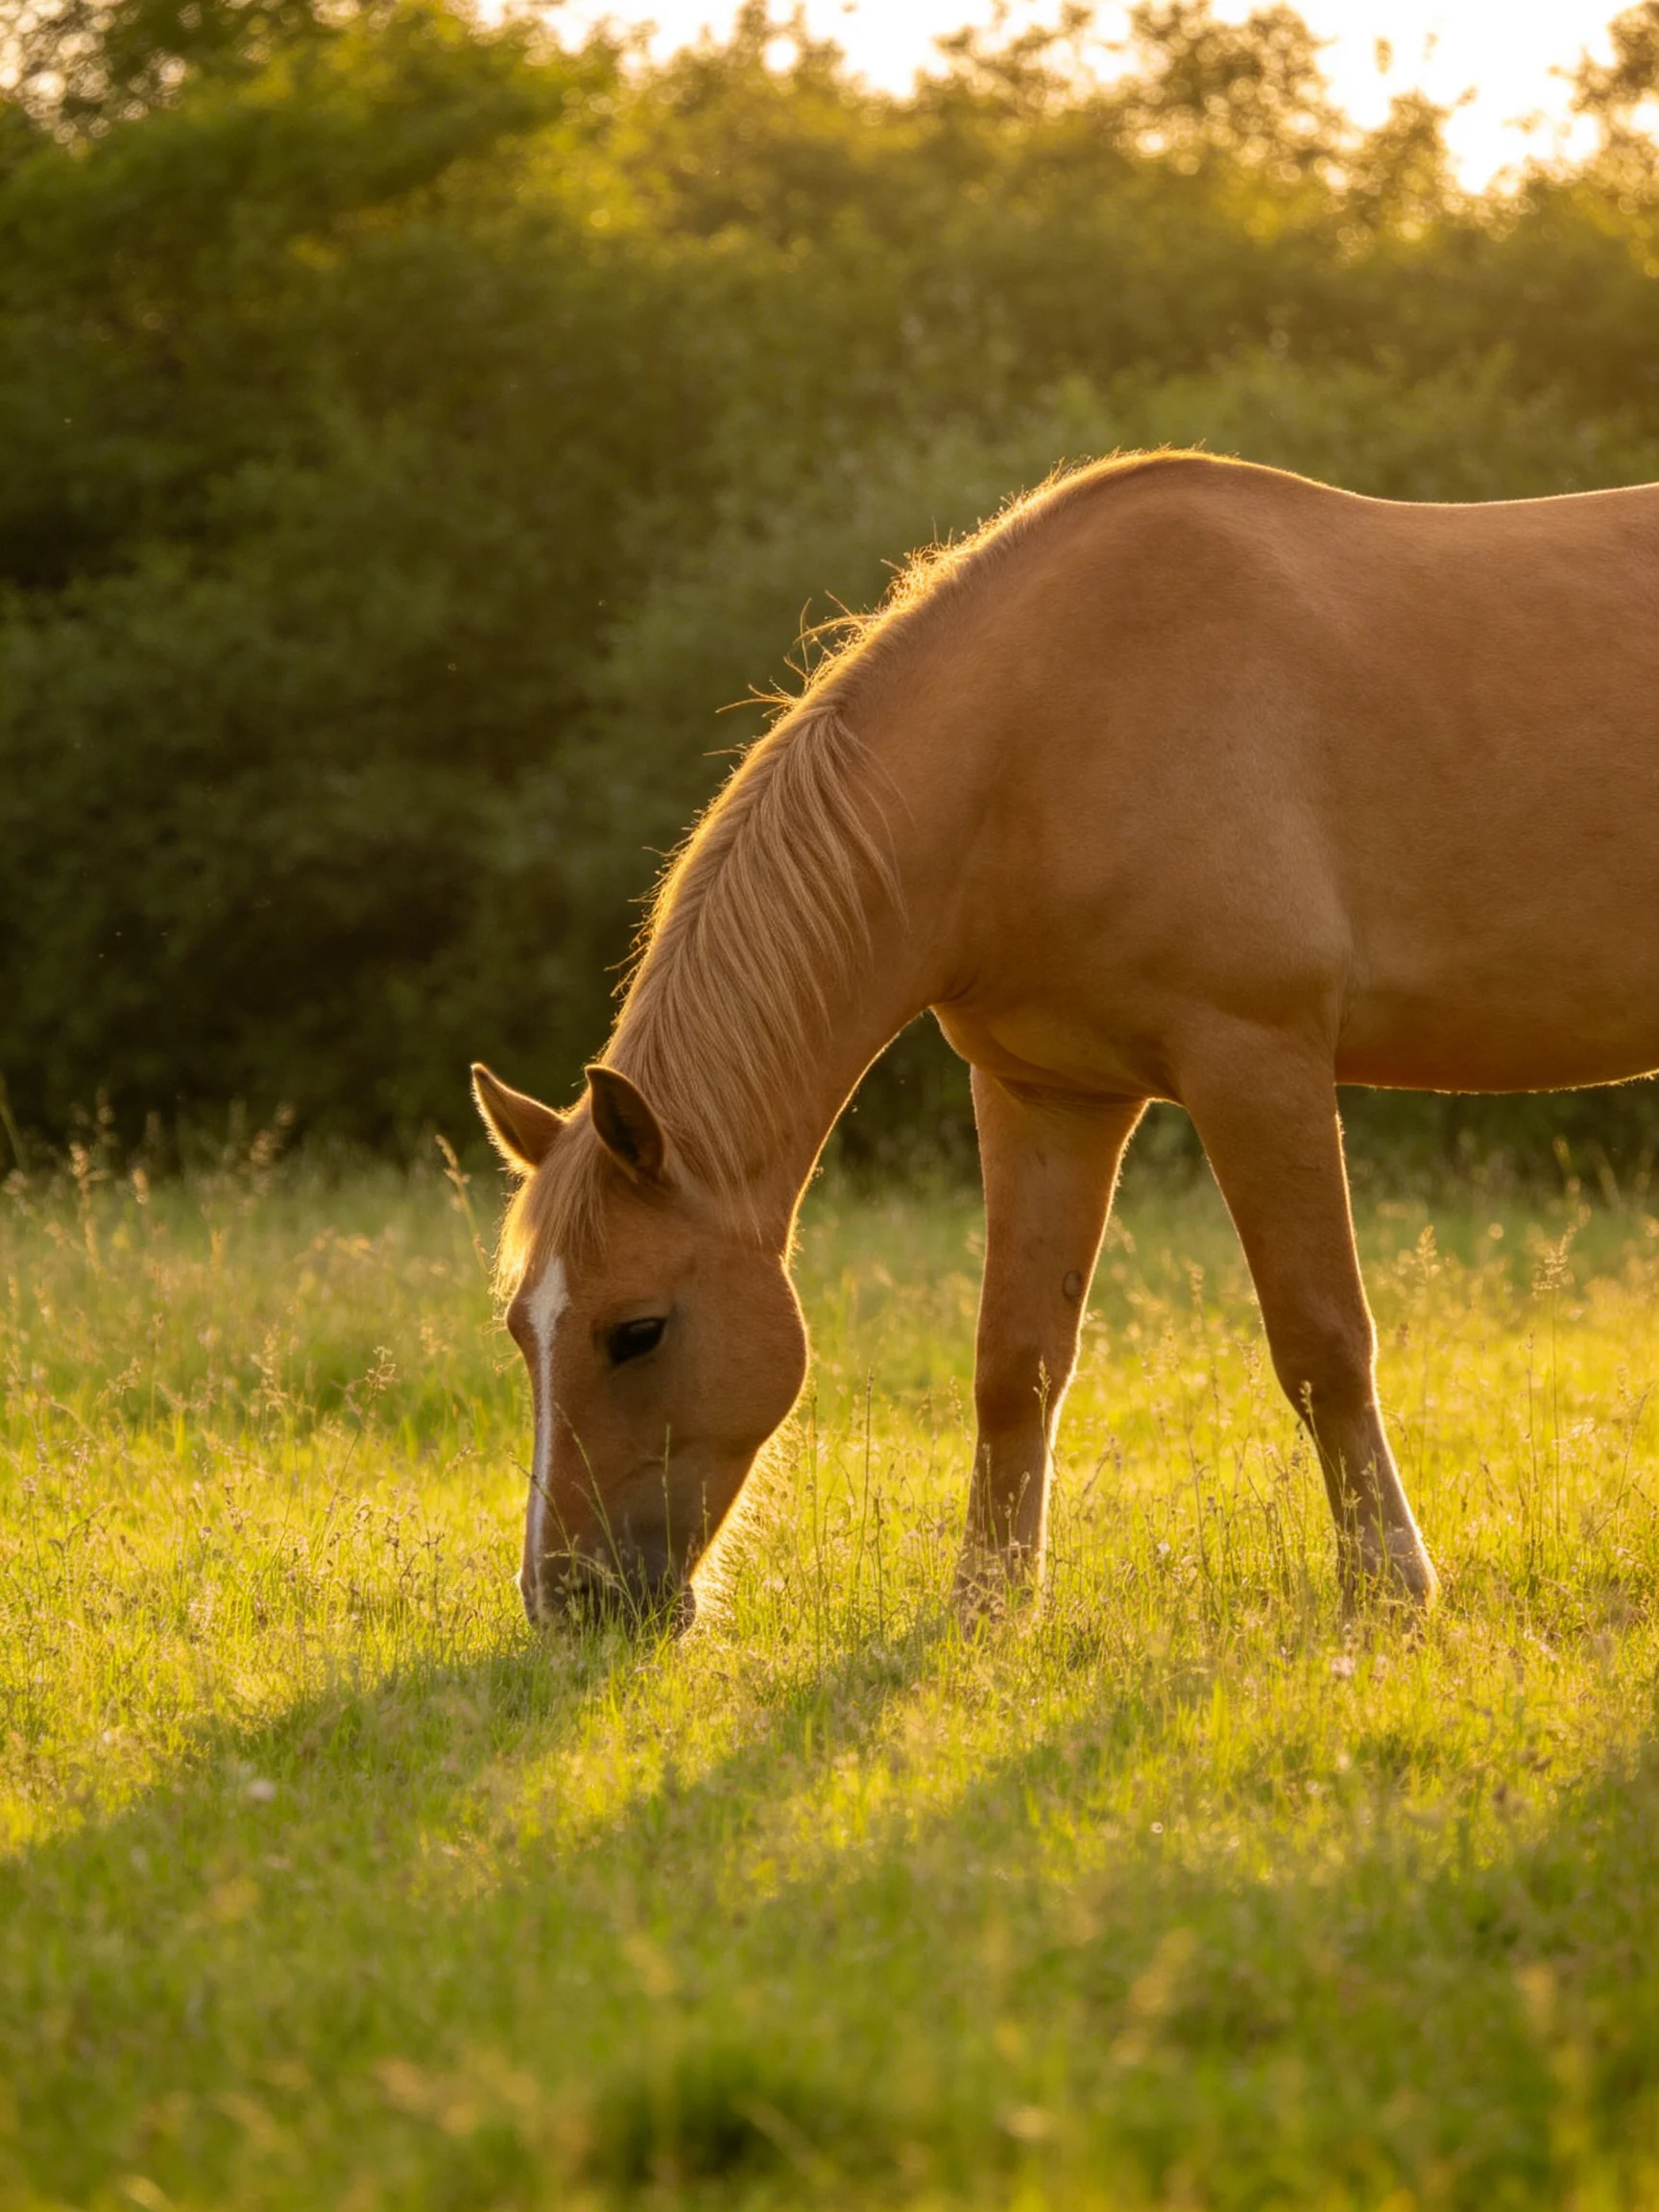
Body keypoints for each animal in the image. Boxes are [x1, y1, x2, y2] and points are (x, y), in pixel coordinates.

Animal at [472, 449, 1659, 1627]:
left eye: (638, 1330)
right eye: (522, 1331)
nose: (567, 1602)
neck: (1040, 742)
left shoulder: (1257, 1063)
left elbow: (1323, 1342)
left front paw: (1389, 1589)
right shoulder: (1043, 1093)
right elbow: (1016, 1360)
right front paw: (989, 1605)